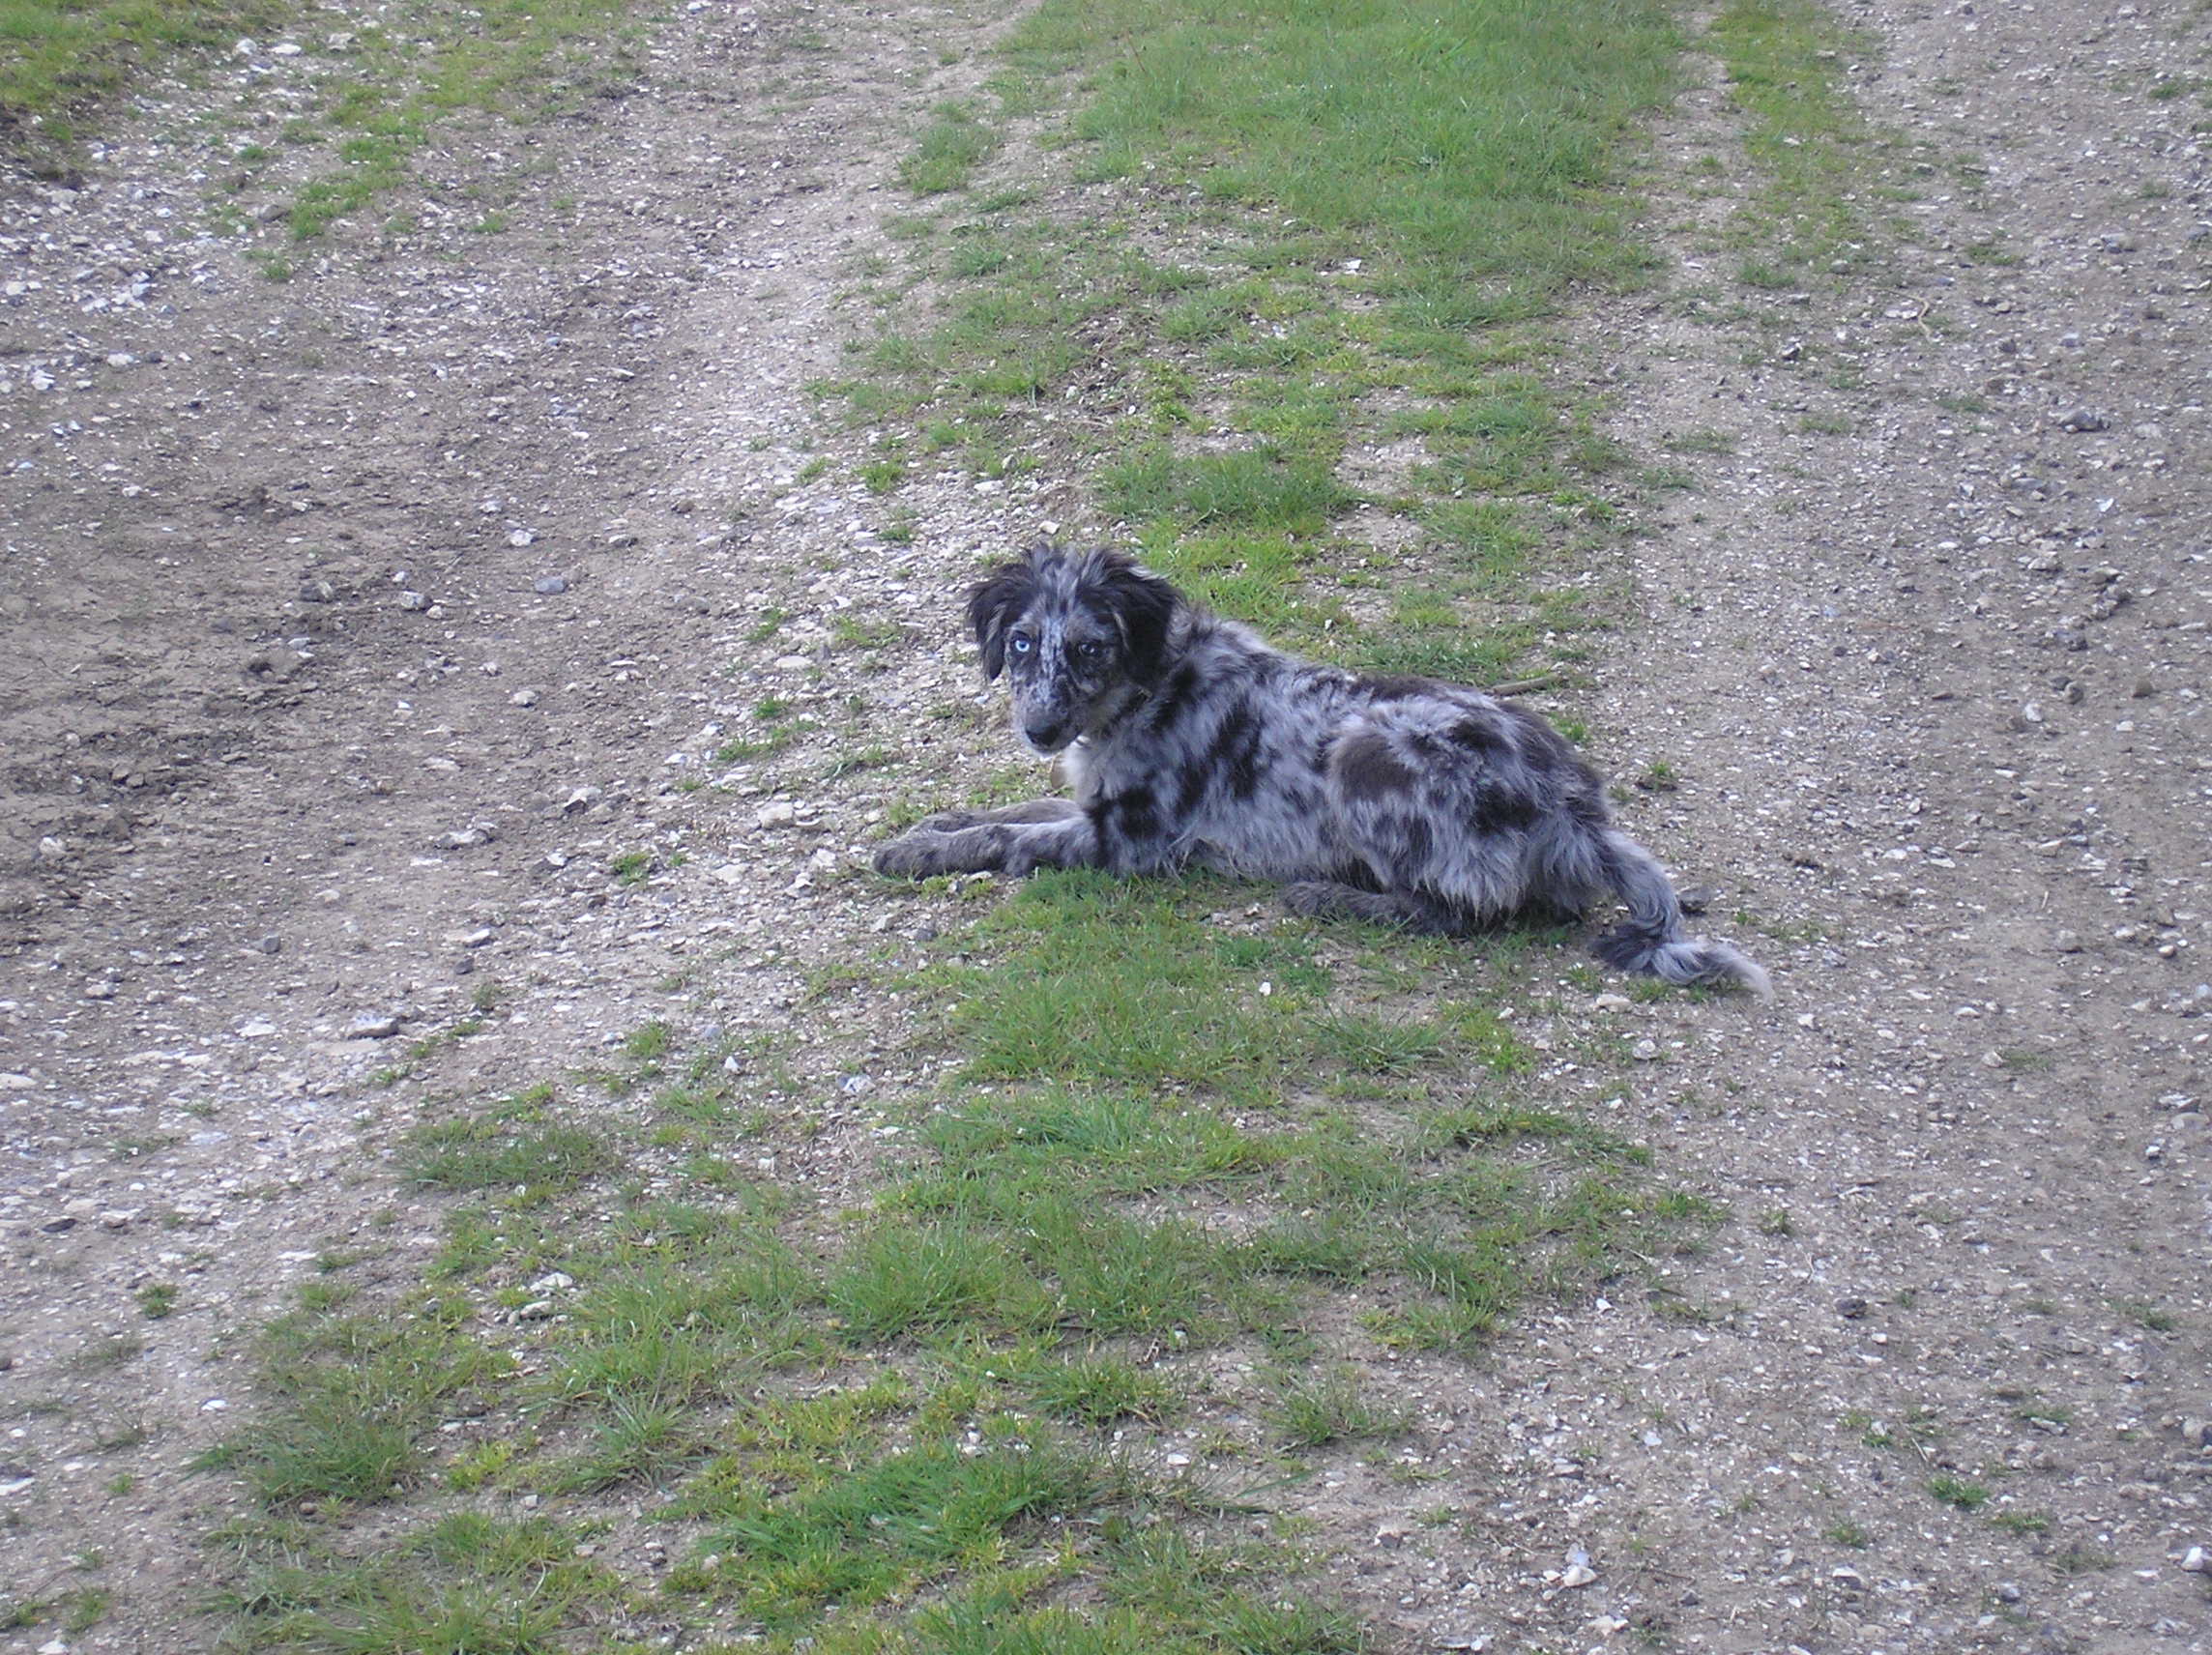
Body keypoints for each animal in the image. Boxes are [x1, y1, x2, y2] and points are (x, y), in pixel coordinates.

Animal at [871, 541, 1769, 995]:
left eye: (1090, 648)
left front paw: (923, 850)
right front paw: (929, 827)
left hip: (1363, 750)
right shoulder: (1094, 805)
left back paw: (1333, 896)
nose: (1040, 728)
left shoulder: (1130, 844)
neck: (1152, 691)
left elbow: (1008, 838)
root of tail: (1577, 812)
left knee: (1466, 909)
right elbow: (1006, 811)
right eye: (1022, 643)